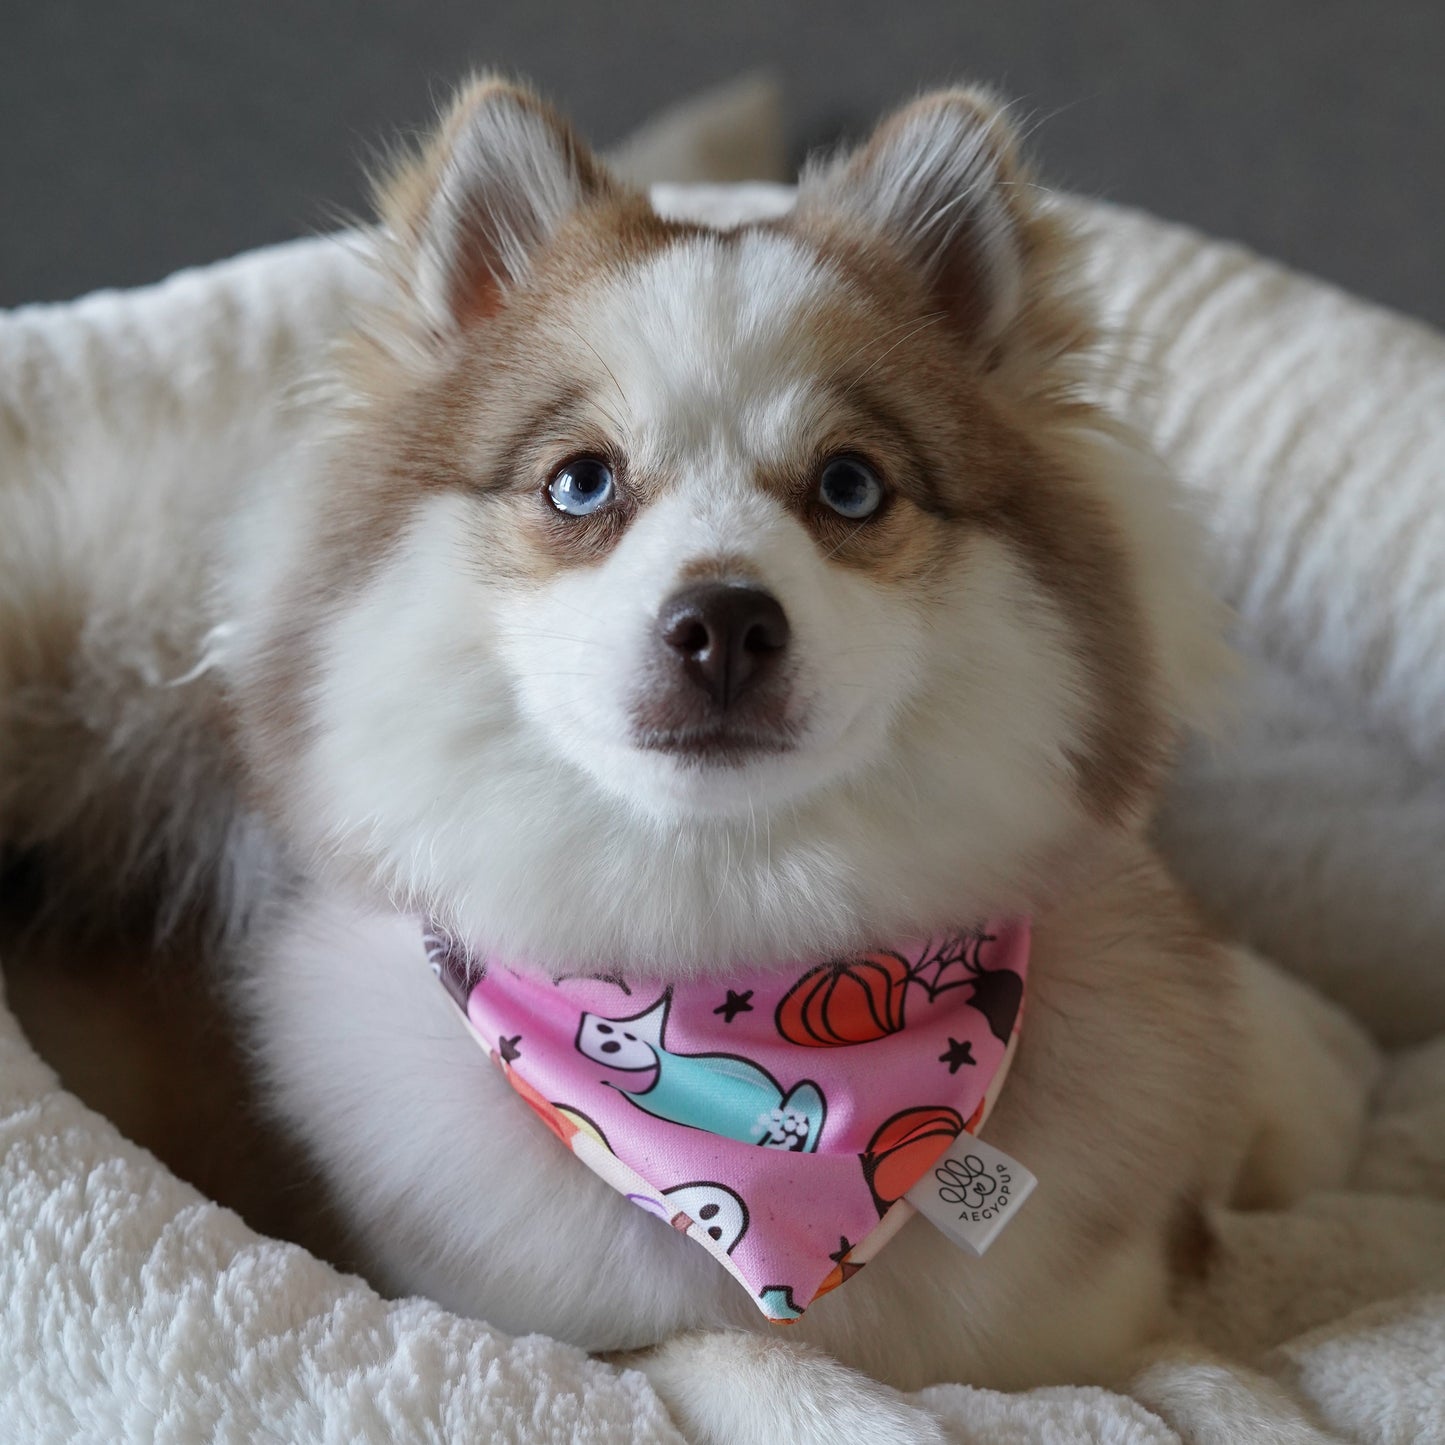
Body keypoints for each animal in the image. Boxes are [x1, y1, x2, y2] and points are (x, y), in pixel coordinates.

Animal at [0, 76, 1375, 1445]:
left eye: (849, 486)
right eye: (580, 481)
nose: (723, 621)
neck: (725, 942)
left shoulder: (1111, 1313)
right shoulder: (501, 1321)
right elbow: (719, 1355)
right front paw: (838, 1402)